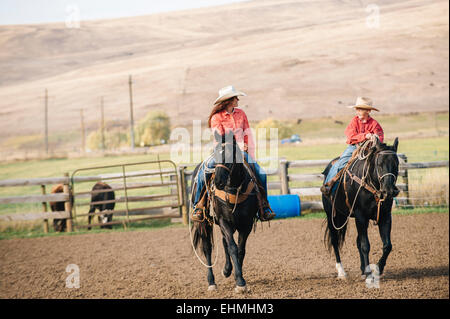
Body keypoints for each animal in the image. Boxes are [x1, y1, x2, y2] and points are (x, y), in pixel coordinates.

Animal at [192, 131, 258, 294]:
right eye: (215, 153)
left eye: (230, 154)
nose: (218, 182)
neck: (232, 189)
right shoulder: (224, 220)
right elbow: (233, 247)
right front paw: (240, 281)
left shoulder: (246, 224)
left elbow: (240, 249)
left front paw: (236, 276)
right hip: (203, 224)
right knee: (207, 248)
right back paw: (211, 282)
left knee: (224, 242)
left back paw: (227, 270)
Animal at [322, 139, 400, 282]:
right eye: (379, 164)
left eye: (396, 164)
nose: (389, 191)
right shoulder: (361, 216)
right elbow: (365, 245)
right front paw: (369, 275)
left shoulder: (385, 216)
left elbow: (387, 245)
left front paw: (377, 269)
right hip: (333, 216)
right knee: (335, 241)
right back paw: (342, 272)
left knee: (357, 241)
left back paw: (363, 269)